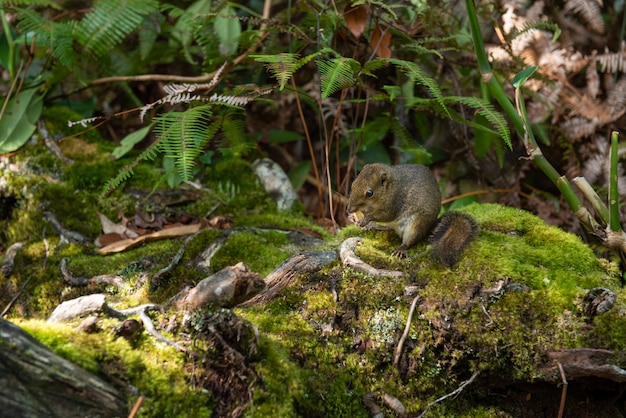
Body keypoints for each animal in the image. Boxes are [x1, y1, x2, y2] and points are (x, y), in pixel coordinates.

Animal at [344, 163, 476, 268]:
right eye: (353, 184)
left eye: (369, 193)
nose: (349, 209)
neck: (391, 188)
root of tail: (430, 227)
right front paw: (357, 218)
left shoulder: (395, 203)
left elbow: (385, 215)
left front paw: (365, 220)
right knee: (388, 227)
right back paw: (374, 226)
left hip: (416, 226)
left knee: (408, 241)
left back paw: (400, 249)